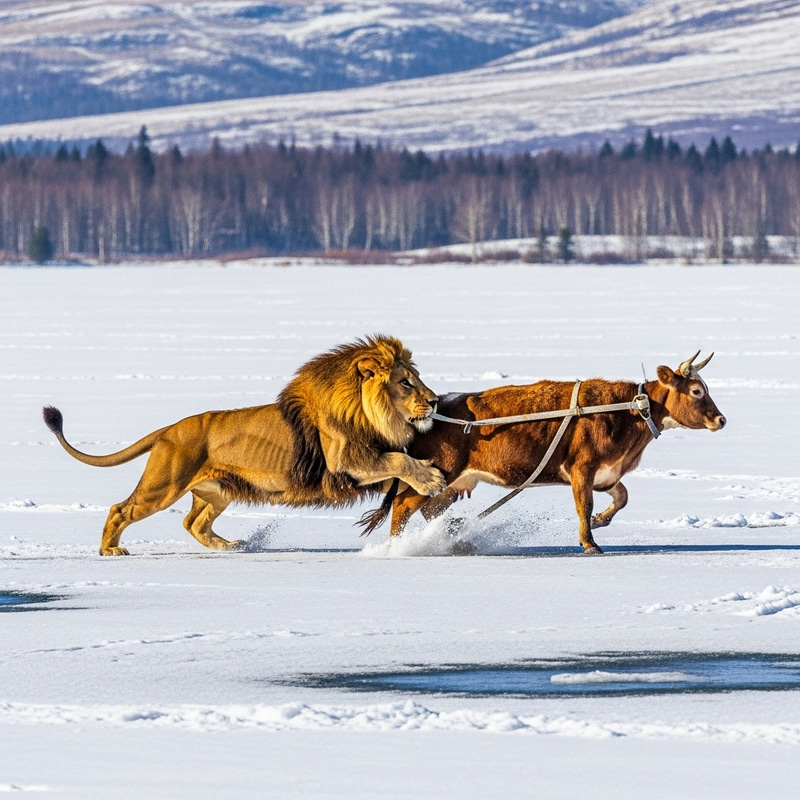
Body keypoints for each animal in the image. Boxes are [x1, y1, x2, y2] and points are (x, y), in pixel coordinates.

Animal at [43, 335, 445, 555]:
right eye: (405, 382)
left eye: (417, 378)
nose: (436, 400)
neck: (367, 411)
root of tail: (169, 428)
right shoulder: (345, 462)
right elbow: (396, 459)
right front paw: (431, 479)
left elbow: (397, 468)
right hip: (163, 486)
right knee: (120, 509)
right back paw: (110, 549)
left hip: (217, 491)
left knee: (193, 523)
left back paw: (231, 546)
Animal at [361, 352, 725, 553]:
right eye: (696, 391)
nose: (721, 419)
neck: (626, 412)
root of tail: (433, 409)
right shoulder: (582, 469)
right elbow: (583, 506)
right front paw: (590, 542)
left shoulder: (608, 473)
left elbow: (621, 498)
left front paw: (601, 521)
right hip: (438, 472)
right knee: (403, 507)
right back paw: (397, 548)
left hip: (453, 484)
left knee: (429, 510)